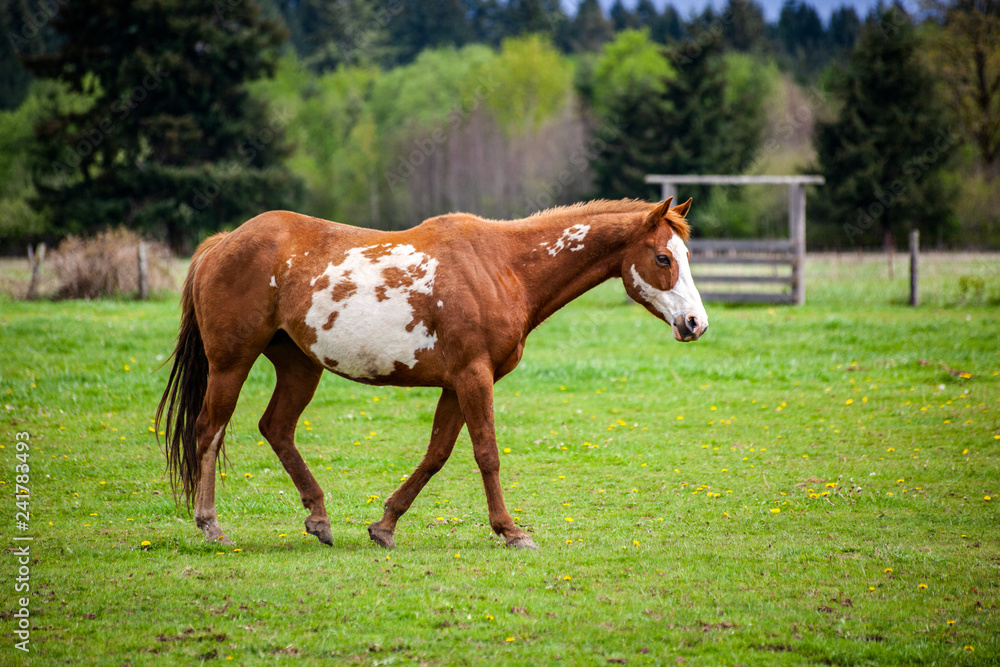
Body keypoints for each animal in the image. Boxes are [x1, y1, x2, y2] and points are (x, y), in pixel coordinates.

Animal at [156, 197, 708, 550]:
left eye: (686, 255)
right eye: (663, 257)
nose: (695, 323)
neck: (502, 266)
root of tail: (223, 242)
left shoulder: (457, 383)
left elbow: (437, 455)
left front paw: (385, 525)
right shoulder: (473, 376)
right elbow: (486, 455)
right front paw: (511, 531)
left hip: (300, 366)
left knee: (276, 429)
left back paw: (319, 517)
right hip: (231, 363)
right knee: (209, 430)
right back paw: (211, 525)